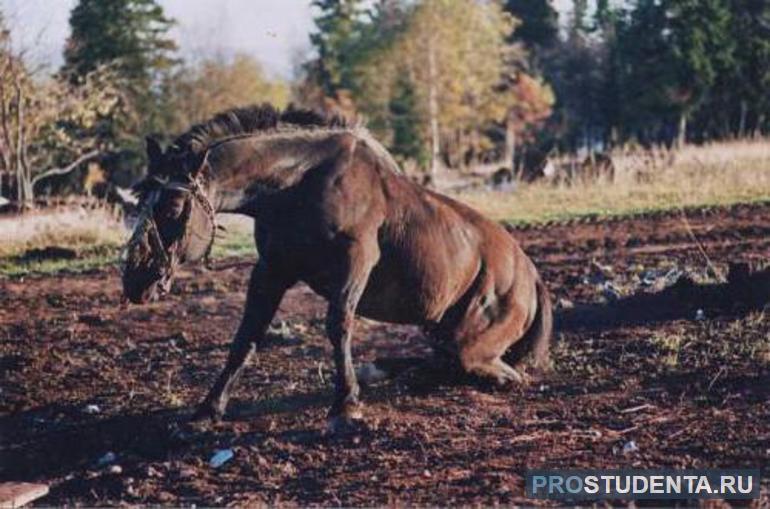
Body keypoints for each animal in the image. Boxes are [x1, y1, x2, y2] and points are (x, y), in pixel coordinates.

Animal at [121, 104, 552, 432]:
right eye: (140, 201)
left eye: (174, 208)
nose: (135, 280)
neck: (299, 183)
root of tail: (532, 276)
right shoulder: (272, 269)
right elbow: (246, 337)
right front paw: (208, 410)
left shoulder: (355, 260)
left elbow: (338, 325)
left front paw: (345, 405)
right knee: (441, 361)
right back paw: (386, 370)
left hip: (472, 345)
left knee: (488, 370)